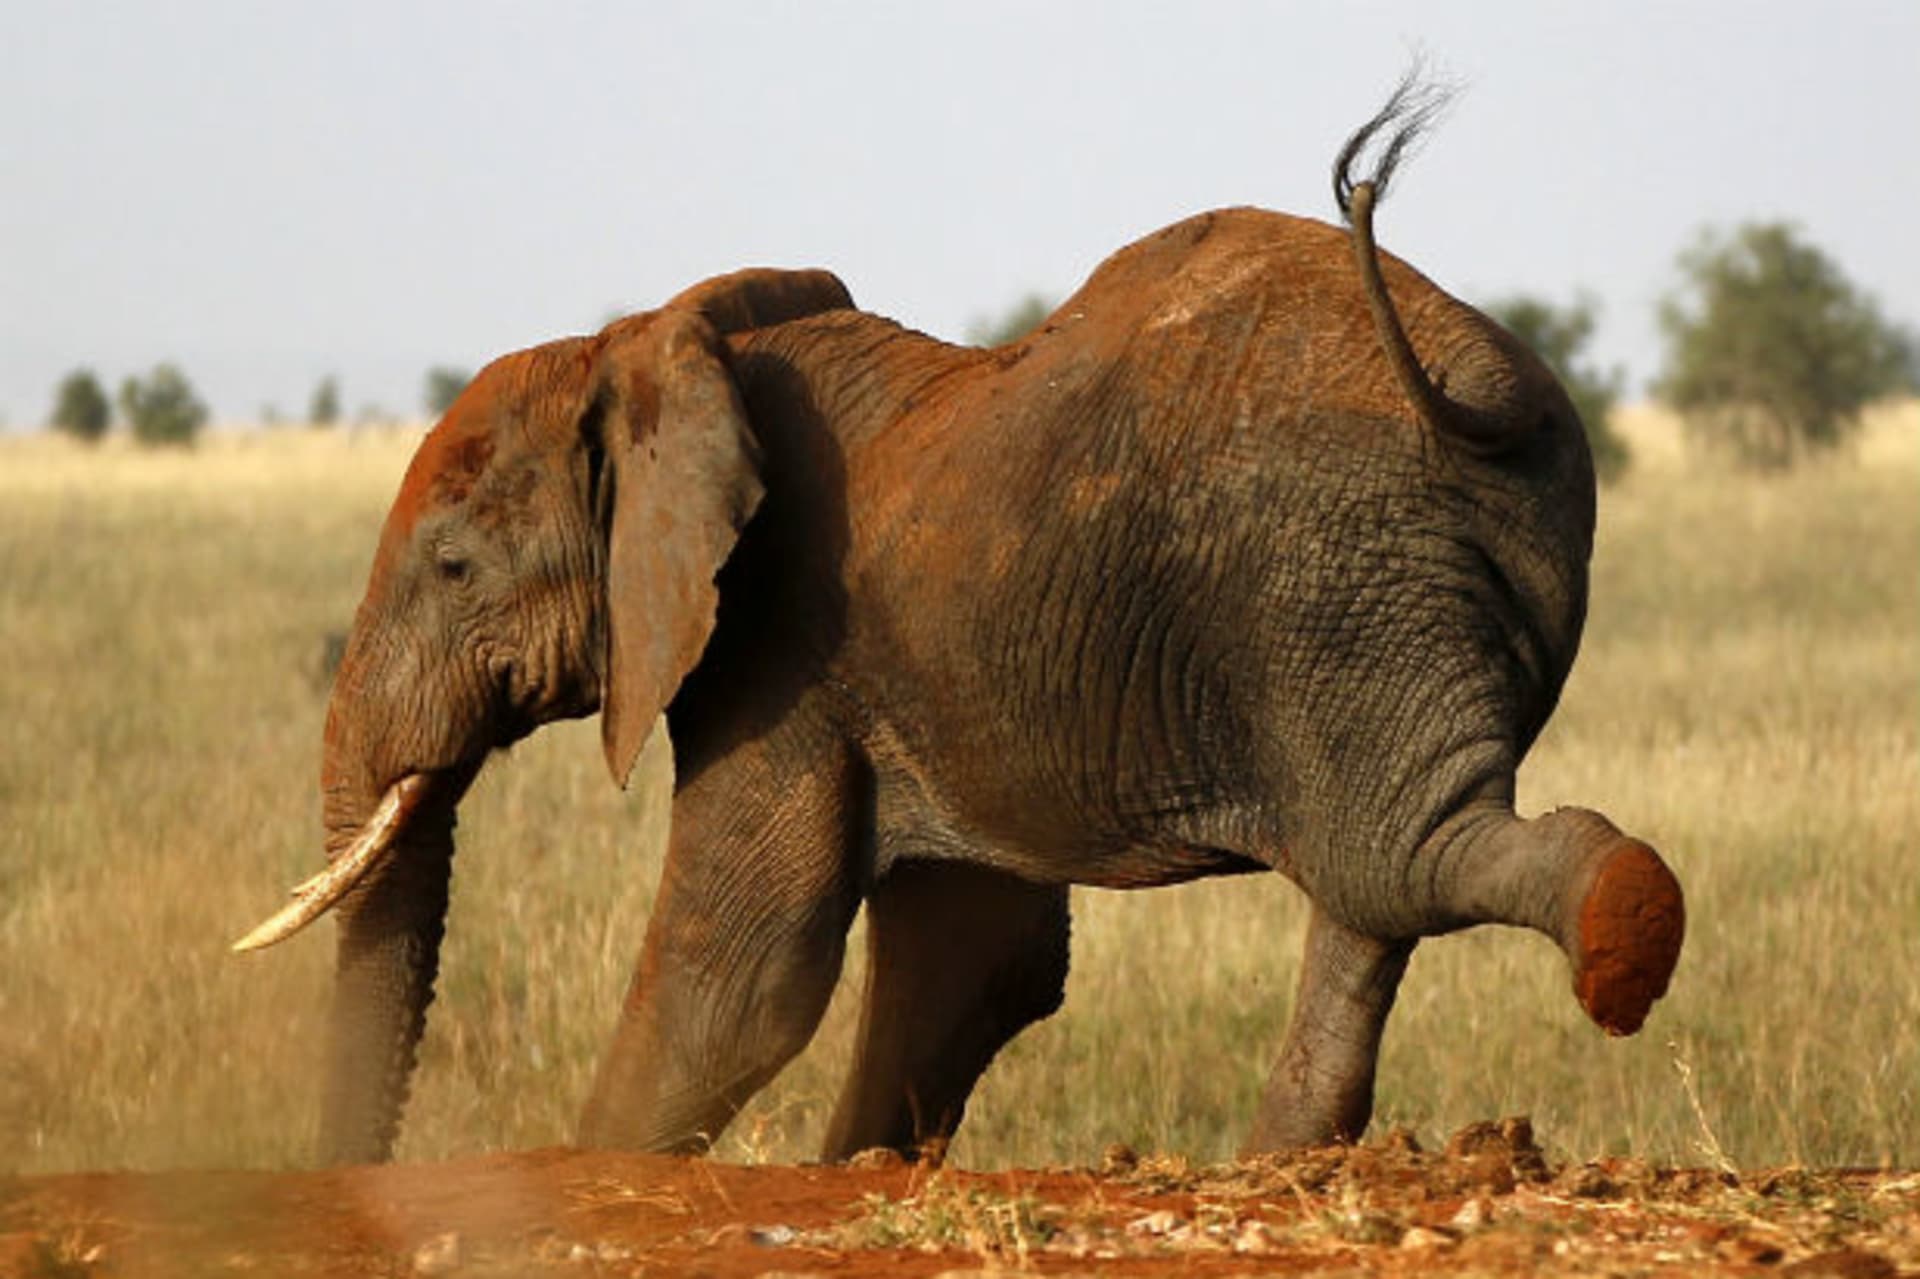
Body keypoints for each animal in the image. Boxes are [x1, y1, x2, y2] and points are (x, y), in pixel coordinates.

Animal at [238, 84, 1683, 1167]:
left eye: (453, 564)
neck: (646, 346)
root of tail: (1480, 380)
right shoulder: (909, 670)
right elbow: (973, 957)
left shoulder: (779, 640)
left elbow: (741, 974)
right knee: (1373, 881)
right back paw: (1283, 1161)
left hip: (1334, 578)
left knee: (1395, 855)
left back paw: (1623, 936)